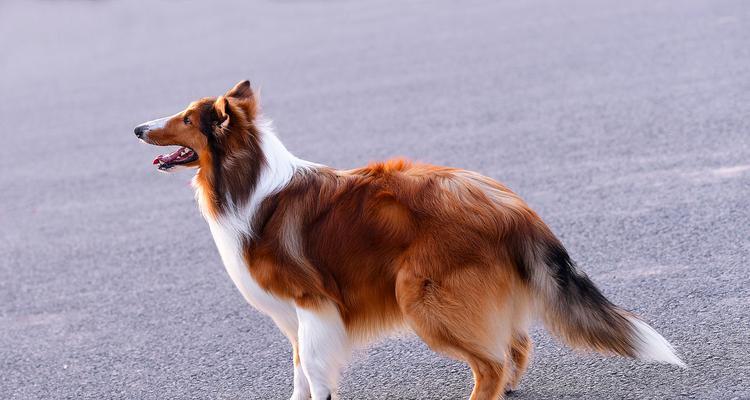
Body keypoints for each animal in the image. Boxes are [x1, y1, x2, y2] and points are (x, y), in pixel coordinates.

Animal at [135, 81, 688, 400]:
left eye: (187, 118)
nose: (138, 127)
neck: (244, 179)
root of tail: (512, 206)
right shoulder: (294, 318)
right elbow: (298, 375)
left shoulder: (312, 306)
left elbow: (313, 372)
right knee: (516, 343)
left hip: (421, 296)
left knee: (490, 362)